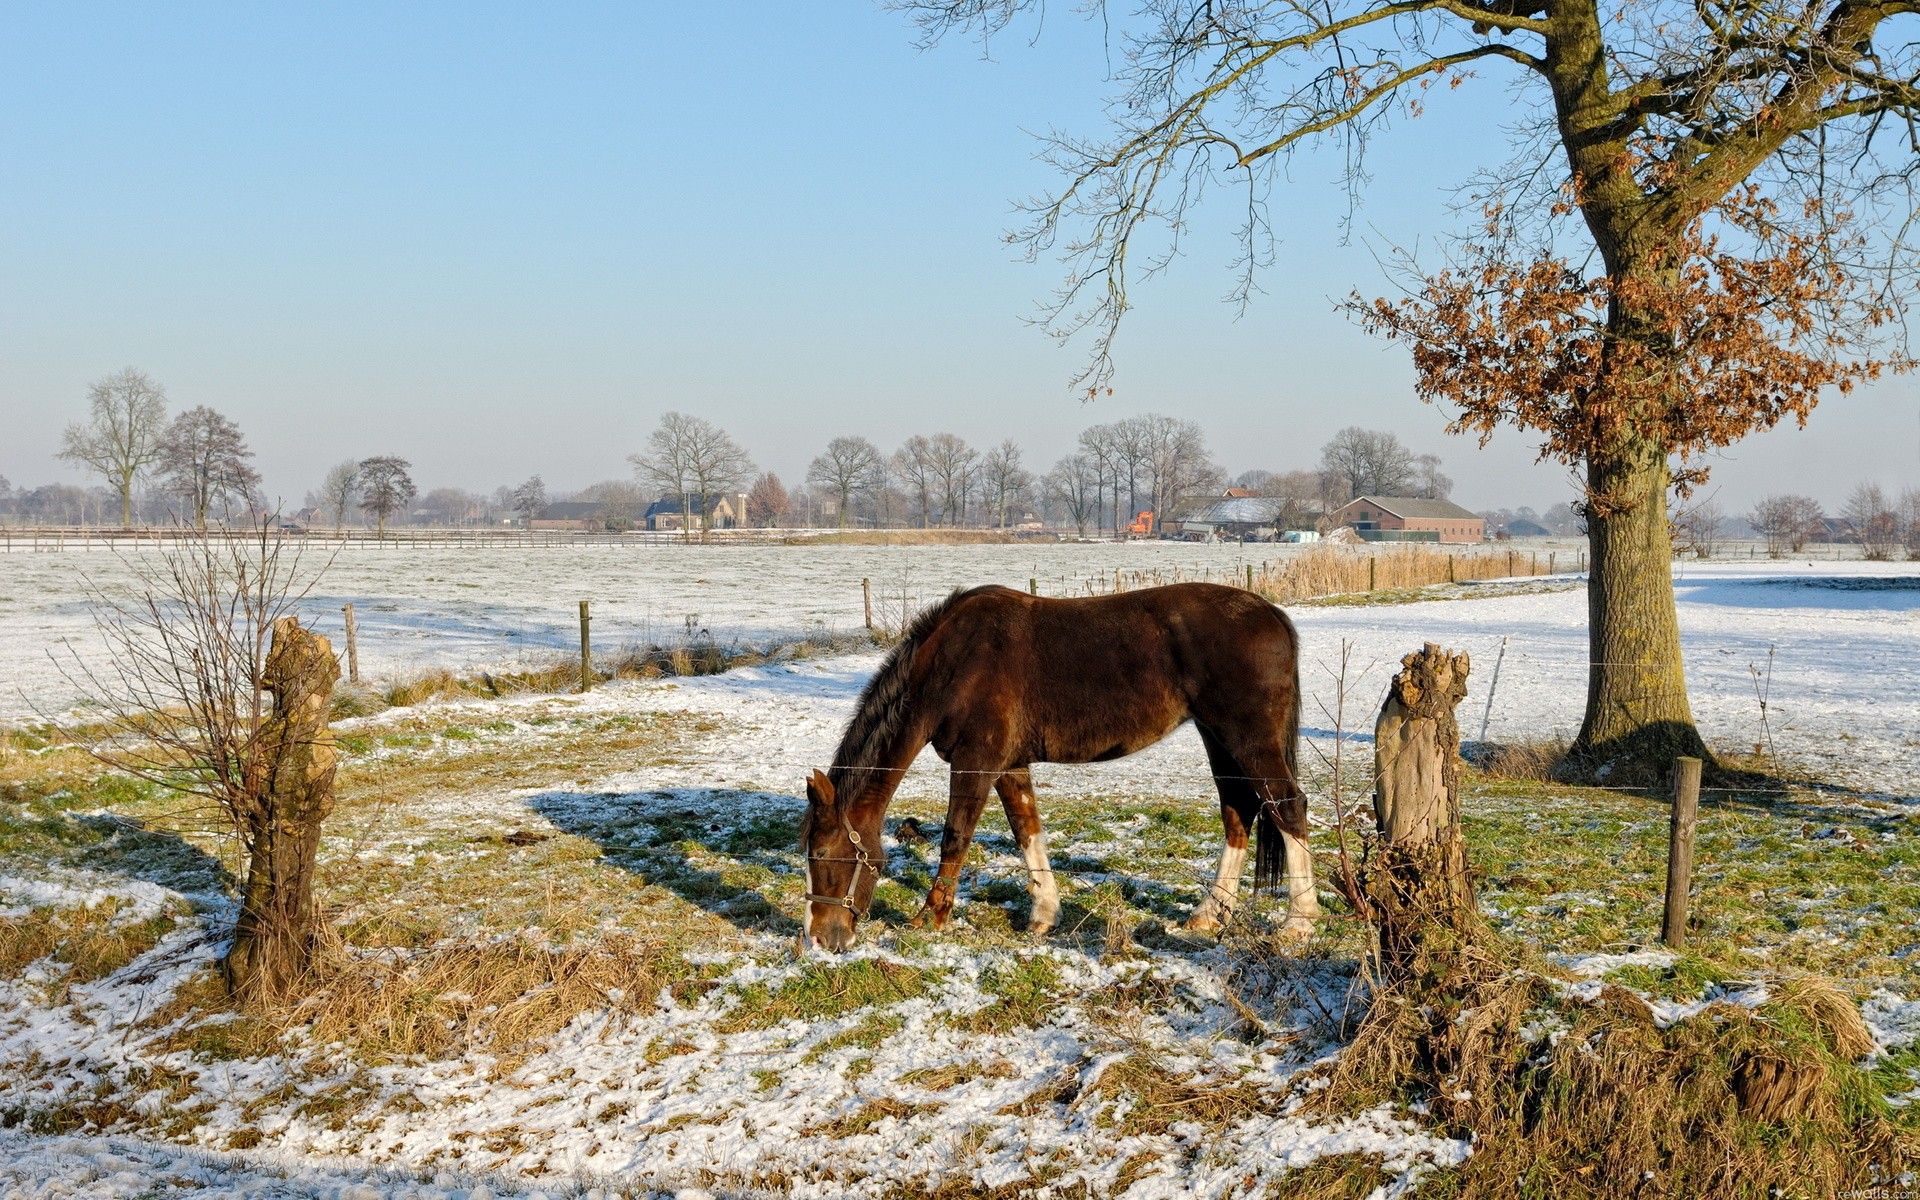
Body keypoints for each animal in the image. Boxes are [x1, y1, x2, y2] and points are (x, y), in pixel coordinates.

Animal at [799, 581, 1318, 953]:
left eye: (821, 854)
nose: (820, 937)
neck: (954, 663)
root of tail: (1272, 614)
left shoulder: (975, 763)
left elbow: (955, 837)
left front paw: (932, 917)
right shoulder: (1009, 766)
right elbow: (1026, 830)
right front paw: (1044, 915)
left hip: (1247, 739)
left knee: (1288, 807)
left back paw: (1299, 922)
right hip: (1218, 738)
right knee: (1239, 813)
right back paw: (1208, 915)